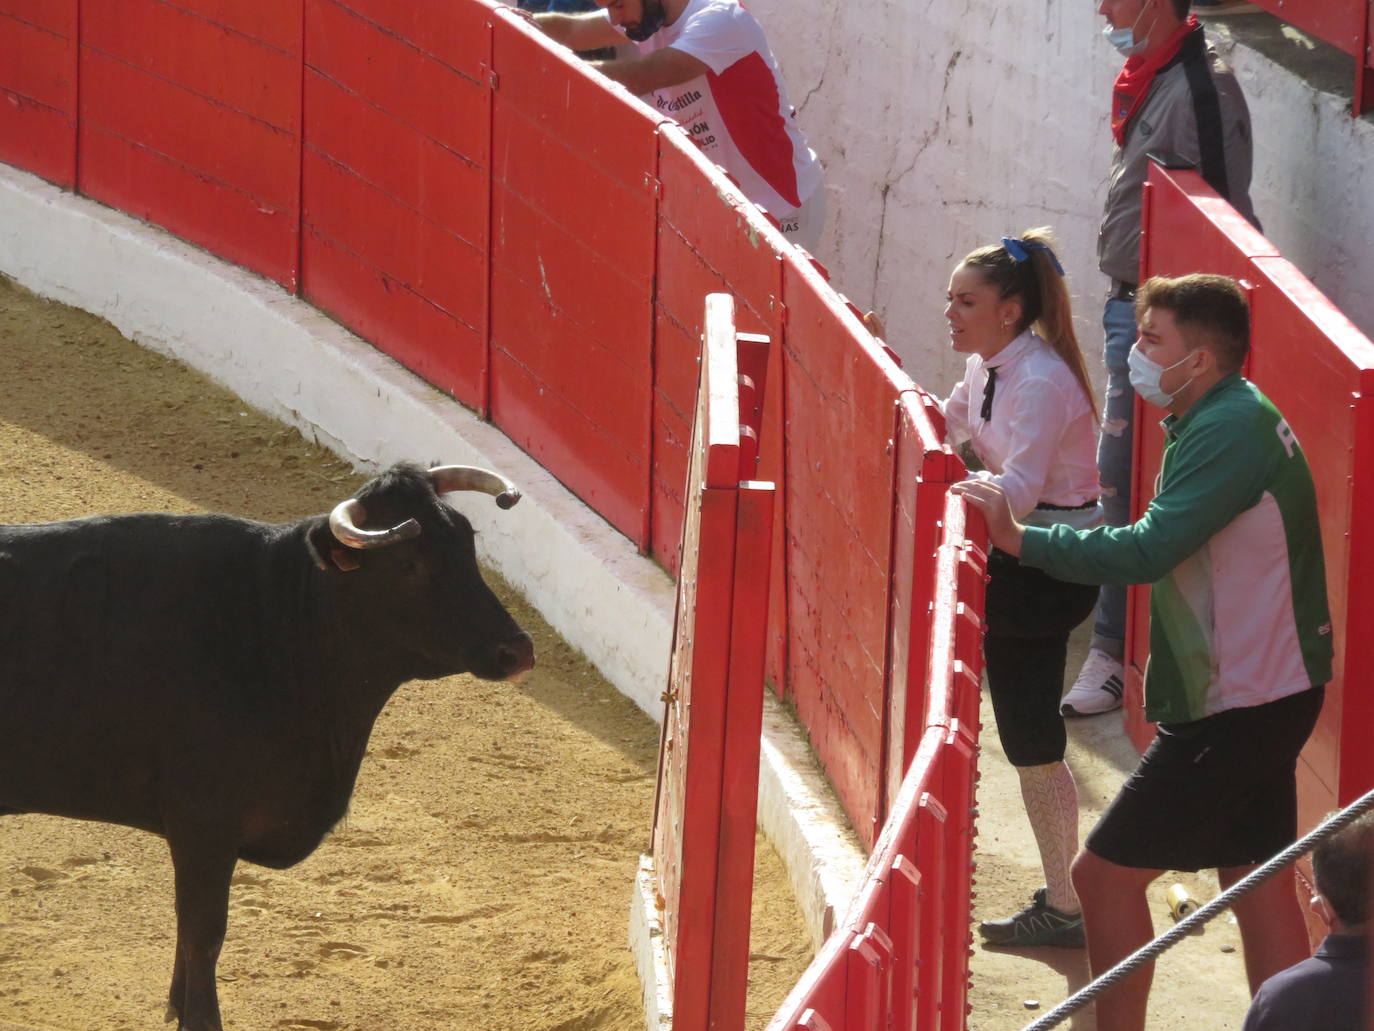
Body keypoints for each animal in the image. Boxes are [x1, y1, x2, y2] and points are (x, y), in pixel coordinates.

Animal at [0, 464, 533, 1031]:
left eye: (467, 544)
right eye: (408, 563)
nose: (518, 650)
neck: (283, 629)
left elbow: (190, 928)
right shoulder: (203, 821)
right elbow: (204, 931)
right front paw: (199, 1018)